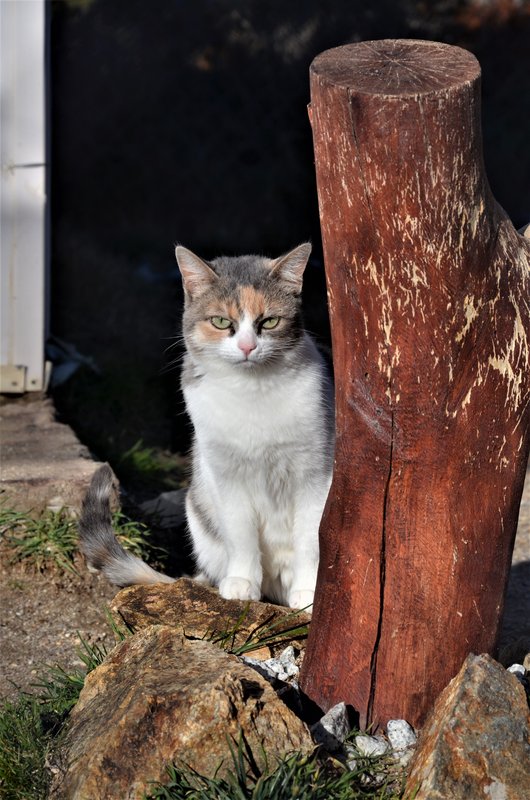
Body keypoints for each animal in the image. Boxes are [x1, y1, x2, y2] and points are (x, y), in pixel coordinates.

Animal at [78, 241, 332, 608]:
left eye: (269, 322)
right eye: (221, 321)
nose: (247, 346)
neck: (252, 391)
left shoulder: (315, 473)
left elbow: (311, 537)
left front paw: (309, 592)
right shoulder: (226, 474)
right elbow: (240, 534)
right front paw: (241, 582)